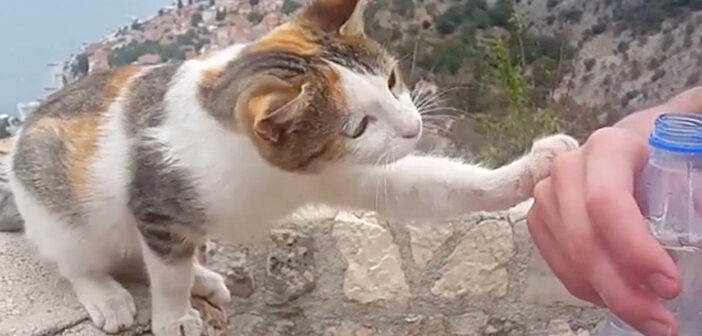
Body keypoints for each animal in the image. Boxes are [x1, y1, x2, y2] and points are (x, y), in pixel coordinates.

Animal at [6, 0, 576, 334]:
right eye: (357, 125)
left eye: (392, 81)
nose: (414, 127)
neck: (268, 173)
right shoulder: (158, 204)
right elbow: (164, 273)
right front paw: (174, 316)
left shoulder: (341, 170)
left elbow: (427, 187)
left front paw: (530, 168)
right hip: (59, 201)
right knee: (82, 256)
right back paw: (107, 293)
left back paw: (201, 277)